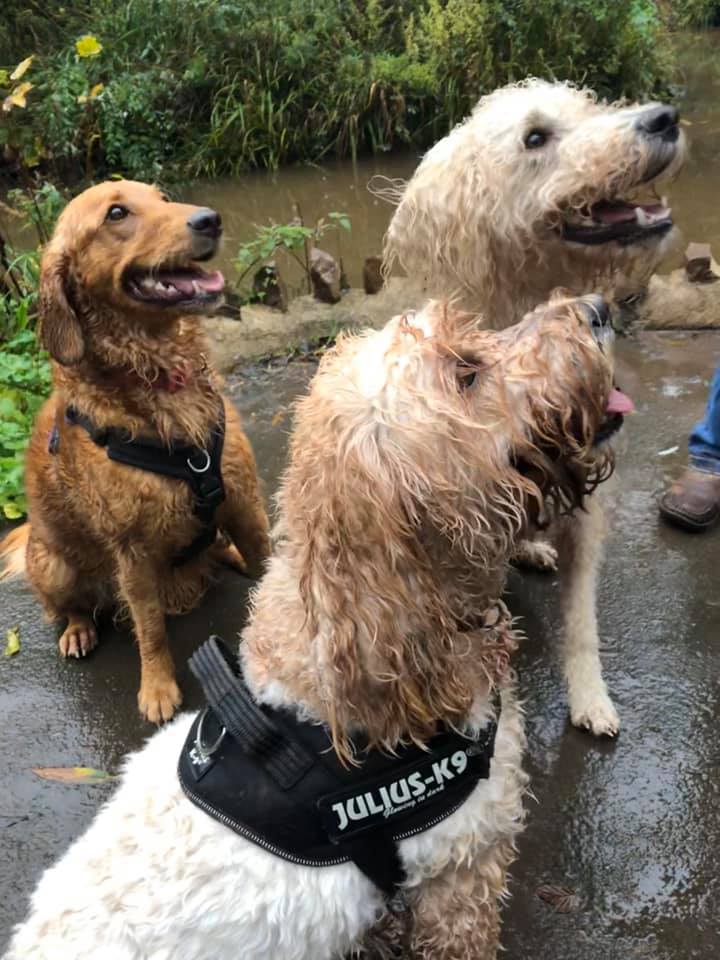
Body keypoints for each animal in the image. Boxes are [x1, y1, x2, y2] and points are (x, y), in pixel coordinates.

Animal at [0, 182, 270, 720]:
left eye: (162, 198)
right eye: (117, 214)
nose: (209, 219)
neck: (160, 378)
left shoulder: (245, 503)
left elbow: (272, 568)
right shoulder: (134, 553)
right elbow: (150, 628)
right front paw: (158, 688)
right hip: (55, 564)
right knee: (71, 606)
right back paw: (78, 631)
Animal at [382, 80, 688, 736]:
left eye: (591, 105)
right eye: (536, 137)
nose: (664, 118)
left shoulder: (592, 499)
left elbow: (581, 621)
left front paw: (591, 696)